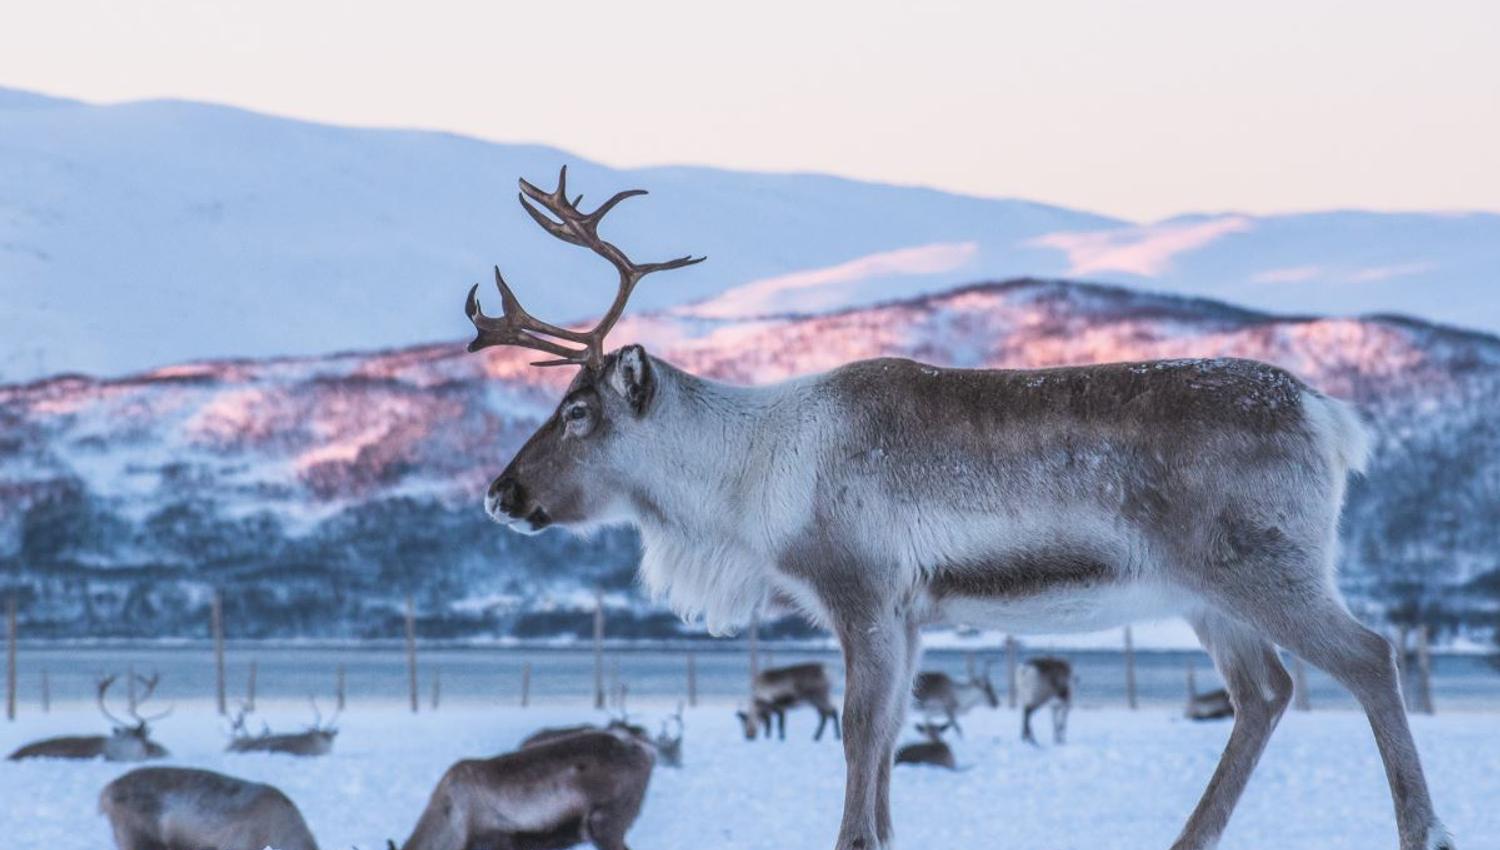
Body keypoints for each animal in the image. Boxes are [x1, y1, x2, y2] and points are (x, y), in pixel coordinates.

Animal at [466, 167, 1452, 850]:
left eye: (578, 411)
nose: (501, 493)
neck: (747, 482)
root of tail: (1331, 417)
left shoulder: (860, 591)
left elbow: (860, 734)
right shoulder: (911, 613)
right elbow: (890, 740)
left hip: (1266, 567)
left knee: (1370, 658)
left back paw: (1423, 831)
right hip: (1209, 597)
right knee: (1266, 693)